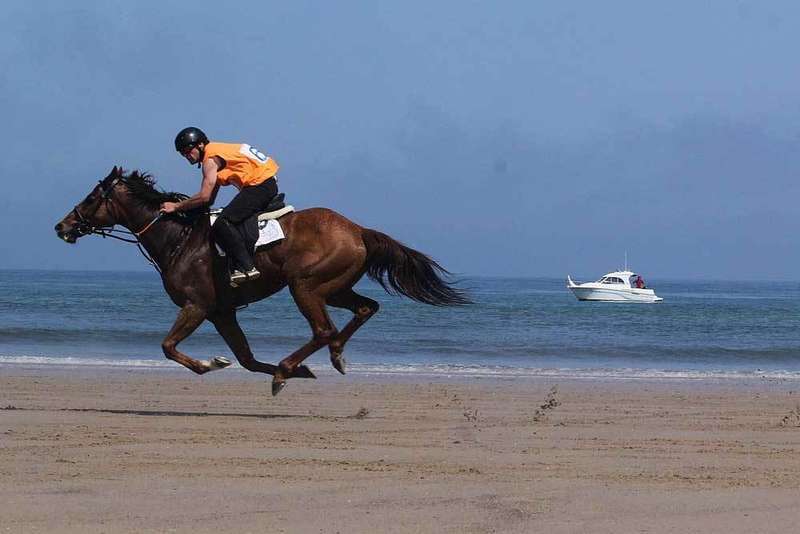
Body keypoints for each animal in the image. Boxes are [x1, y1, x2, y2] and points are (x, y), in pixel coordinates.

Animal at [54, 167, 470, 395]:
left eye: (91, 197)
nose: (62, 226)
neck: (178, 239)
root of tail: (358, 230)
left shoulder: (197, 306)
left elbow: (169, 347)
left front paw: (211, 364)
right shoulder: (222, 312)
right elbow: (247, 359)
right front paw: (295, 371)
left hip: (305, 285)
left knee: (324, 329)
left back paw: (290, 368)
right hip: (334, 287)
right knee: (366, 308)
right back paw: (333, 356)